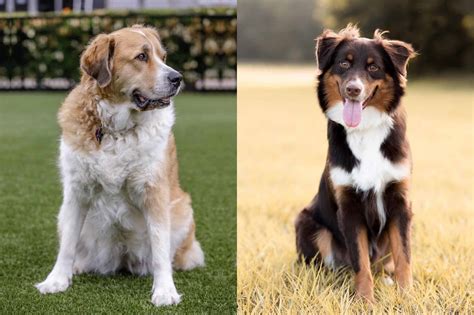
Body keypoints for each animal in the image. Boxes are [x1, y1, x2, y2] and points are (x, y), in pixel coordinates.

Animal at [294, 25, 416, 304]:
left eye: (373, 67)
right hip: (309, 224)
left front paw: (406, 297)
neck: (365, 130)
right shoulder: (349, 206)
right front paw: (364, 301)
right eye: (343, 63)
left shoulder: (400, 200)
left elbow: (403, 256)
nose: (353, 90)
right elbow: (360, 262)